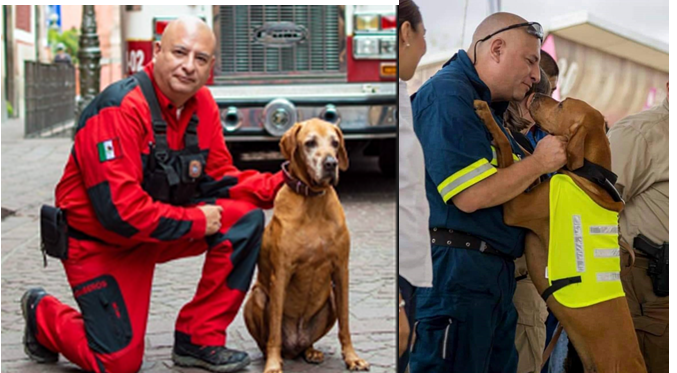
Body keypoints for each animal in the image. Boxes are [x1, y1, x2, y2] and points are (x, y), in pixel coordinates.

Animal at [243, 118, 370, 372]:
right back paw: (273, 355)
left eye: (335, 142)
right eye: (310, 143)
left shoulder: (341, 270)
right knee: (267, 339)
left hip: (329, 299)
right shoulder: (281, 272)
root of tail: (294, 345)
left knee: (309, 341)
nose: (331, 163)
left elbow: (345, 323)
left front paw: (352, 357)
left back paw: (310, 350)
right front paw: (273, 364)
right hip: (258, 296)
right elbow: (274, 330)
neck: (313, 201)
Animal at [472, 96, 648, 372]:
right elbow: (527, 159)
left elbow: (506, 148)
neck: (588, 176)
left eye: (562, 106)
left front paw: (489, 114)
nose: (534, 95)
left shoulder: (516, 208)